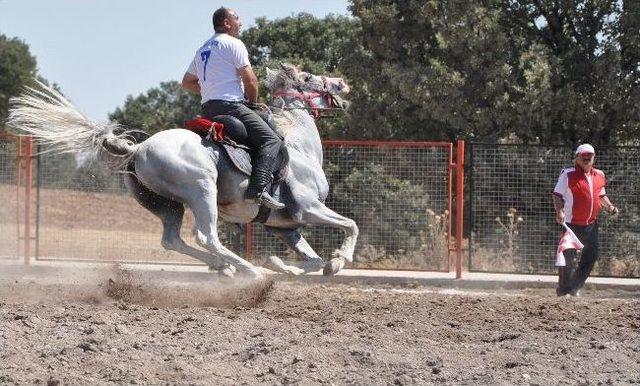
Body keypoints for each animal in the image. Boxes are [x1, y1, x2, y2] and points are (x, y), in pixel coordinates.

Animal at [7, 65, 360, 278]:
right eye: (309, 77)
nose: (343, 83)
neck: (299, 148)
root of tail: (139, 149)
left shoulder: (283, 225)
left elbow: (312, 259)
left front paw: (287, 266)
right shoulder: (307, 207)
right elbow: (350, 226)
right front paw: (338, 259)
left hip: (167, 205)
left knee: (172, 240)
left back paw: (225, 267)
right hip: (203, 191)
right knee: (206, 236)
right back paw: (247, 270)